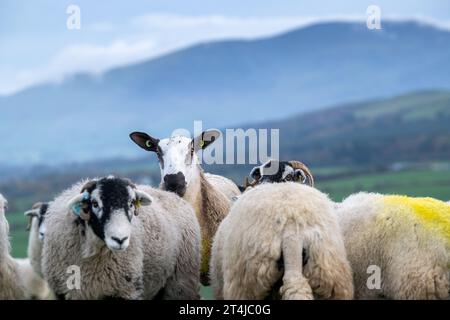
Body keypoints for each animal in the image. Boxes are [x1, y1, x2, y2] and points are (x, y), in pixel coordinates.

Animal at [41, 178, 200, 300]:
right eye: (95, 204)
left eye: (131, 204)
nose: (120, 239)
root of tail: (171, 194)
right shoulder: (63, 292)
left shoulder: (125, 290)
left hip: (181, 280)